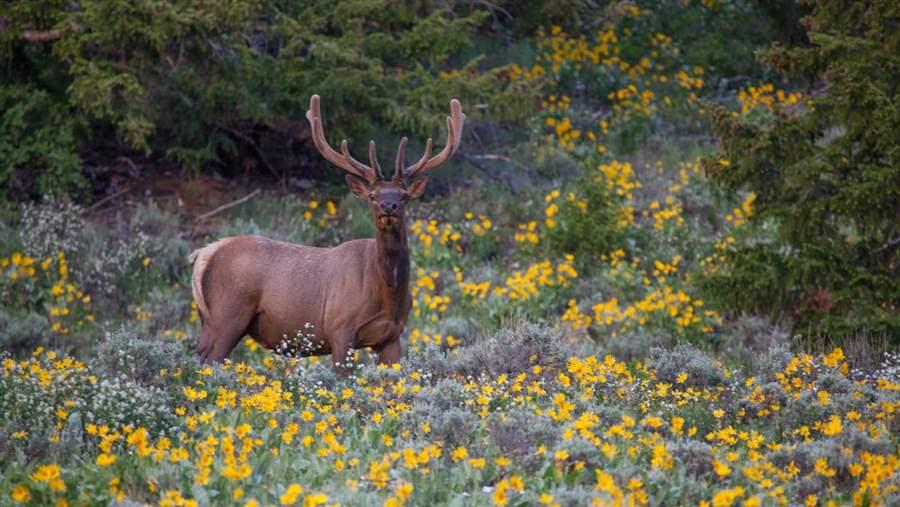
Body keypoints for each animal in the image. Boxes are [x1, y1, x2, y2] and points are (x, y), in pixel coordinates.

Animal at [189, 96, 464, 374]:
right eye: (372, 196)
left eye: (404, 195)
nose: (389, 206)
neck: (387, 293)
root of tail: (205, 253)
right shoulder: (339, 328)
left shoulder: (392, 336)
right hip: (228, 313)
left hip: (210, 321)